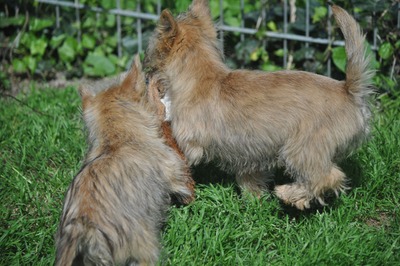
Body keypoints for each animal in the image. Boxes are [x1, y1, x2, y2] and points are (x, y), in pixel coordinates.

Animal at [145, 1, 376, 211]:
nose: (146, 68)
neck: (202, 77)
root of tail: (348, 90)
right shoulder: (250, 157)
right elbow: (250, 180)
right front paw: (254, 202)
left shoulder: (190, 143)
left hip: (303, 149)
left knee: (327, 177)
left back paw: (289, 194)